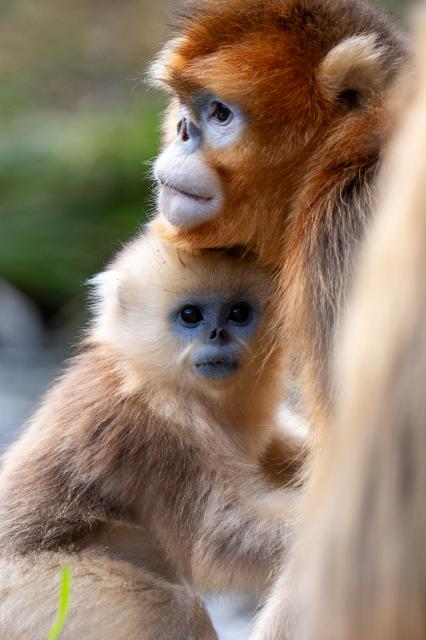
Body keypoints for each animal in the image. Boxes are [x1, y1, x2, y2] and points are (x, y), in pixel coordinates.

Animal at [0, 231, 305, 639]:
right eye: (191, 316)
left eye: (239, 313)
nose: (218, 334)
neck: (148, 373)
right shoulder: (153, 432)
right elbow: (220, 537)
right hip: (26, 594)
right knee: (174, 612)